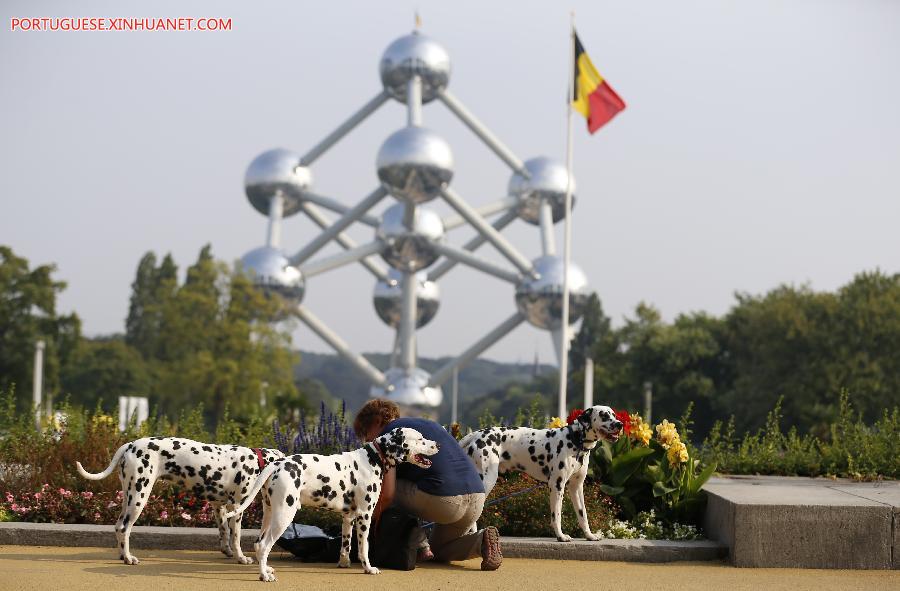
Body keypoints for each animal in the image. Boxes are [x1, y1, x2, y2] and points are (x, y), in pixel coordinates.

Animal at [76, 438, 284, 568]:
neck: (254, 461)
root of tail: (130, 445)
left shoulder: (219, 507)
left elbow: (224, 533)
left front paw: (226, 551)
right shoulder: (237, 508)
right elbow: (236, 537)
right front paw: (241, 558)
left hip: (129, 497)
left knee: (118, 526)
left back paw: (122, 555)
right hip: (139, 497)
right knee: (123, 528)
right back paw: (128, 558)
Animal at [223, 428, 438, 580]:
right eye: (420, 439)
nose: (437, 444)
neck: (373, 458)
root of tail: (277, 464)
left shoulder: (349, 517)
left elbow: (345, 544)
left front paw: (344, 563)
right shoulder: (365, 515)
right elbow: (364, 547)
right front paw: (368, 568)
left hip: (269, 515)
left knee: (259, 544)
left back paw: (266, 569)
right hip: (283, 516)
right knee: (264, 545)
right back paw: (264, 576)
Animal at [460, 408, 624, 540]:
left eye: (614, 415)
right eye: (604, 415)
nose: (619, 424)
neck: (574, 440)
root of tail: (476, 435)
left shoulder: (576, 487)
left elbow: (583, 515)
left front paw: (589, 535)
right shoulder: (557, 485)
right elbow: (556, 515)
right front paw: (561, 536)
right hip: (487, 480)